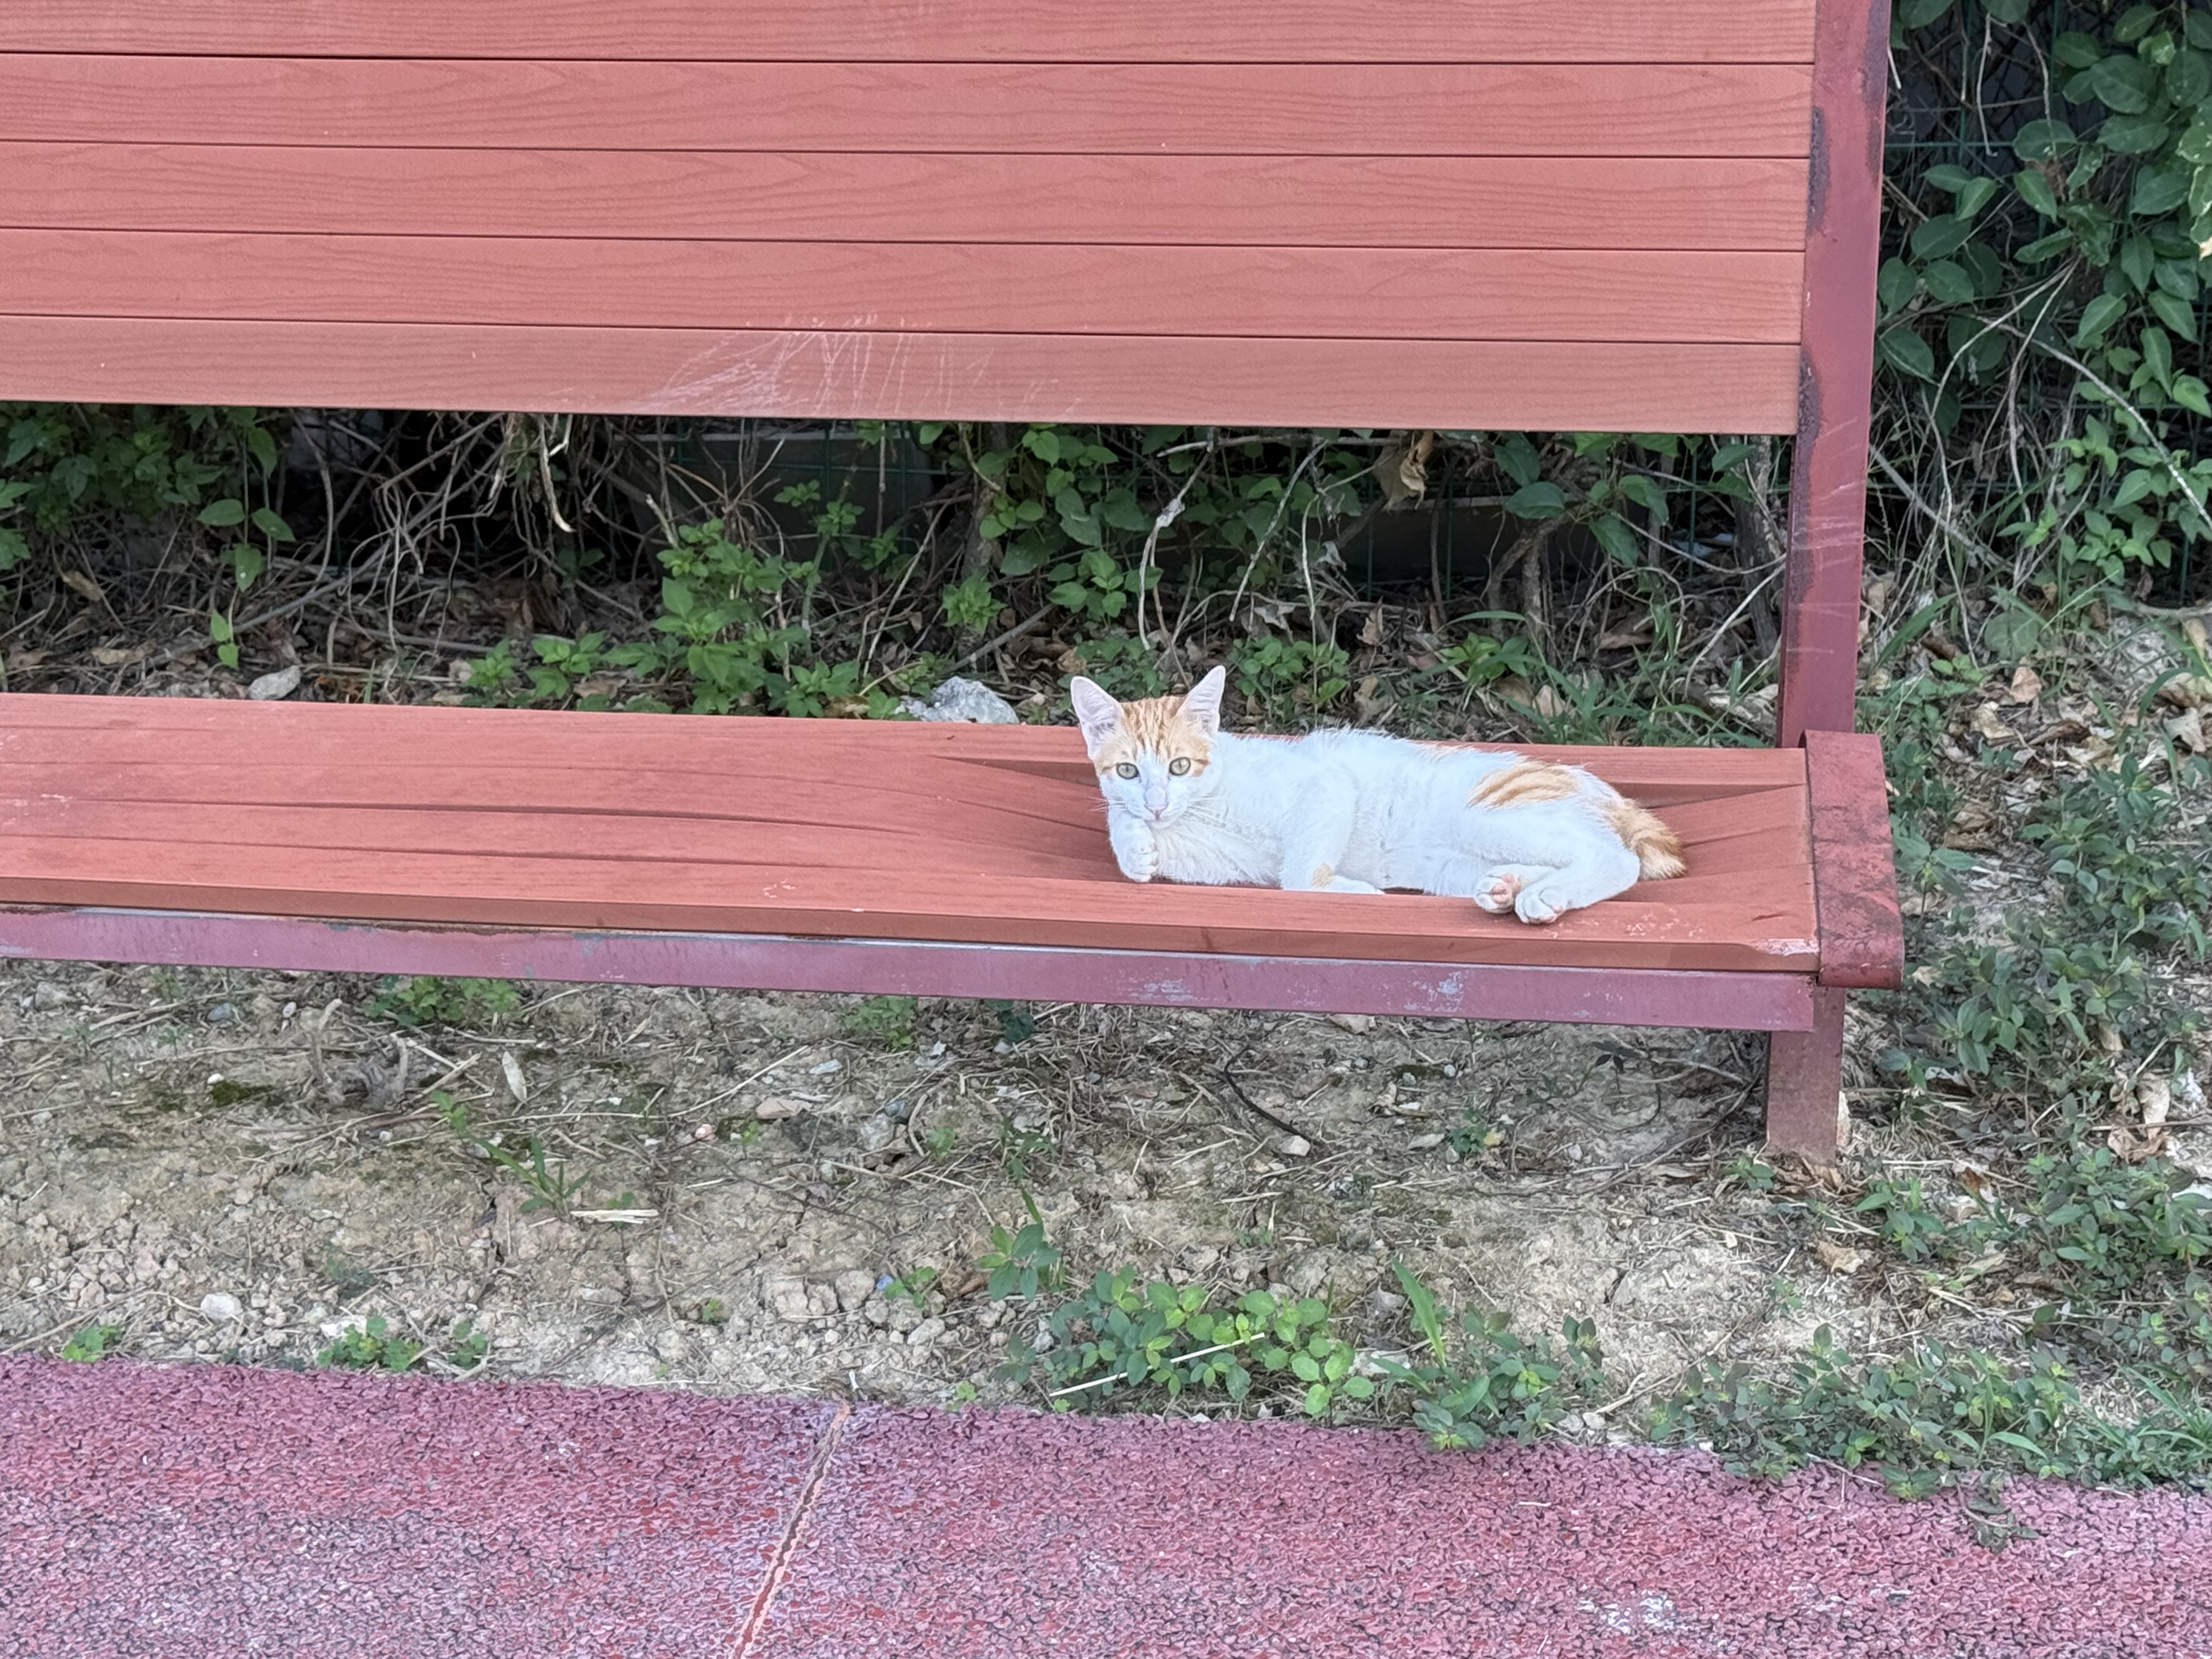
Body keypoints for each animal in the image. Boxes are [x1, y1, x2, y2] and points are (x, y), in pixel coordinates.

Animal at [1068, 666, 1684, 925]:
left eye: (1179, 765)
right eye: (1128, 770)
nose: (1155, 803)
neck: (1204, 804)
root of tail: (1609, 793)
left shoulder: (1325, 785)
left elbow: (1299, 876)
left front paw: (1348, 890)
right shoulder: (1215, 861)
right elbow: (1138, 839)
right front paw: (1134, 843)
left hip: (1488, 816)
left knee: (1615, 860)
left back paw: (1546, 896)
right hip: (1452, 866)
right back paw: (1508, 888)